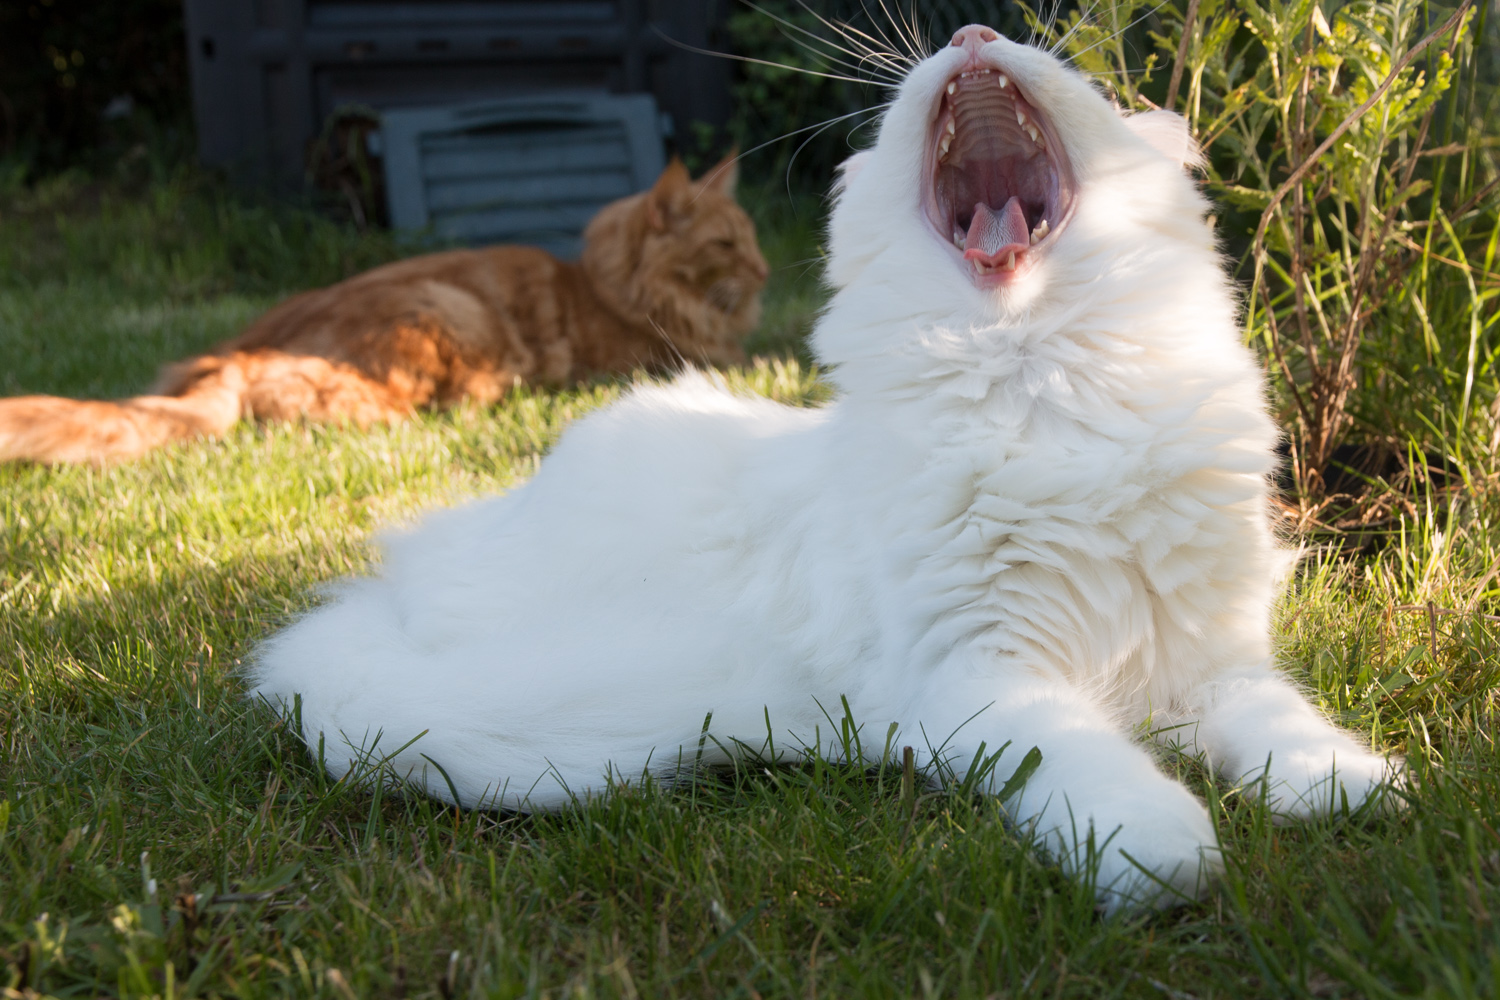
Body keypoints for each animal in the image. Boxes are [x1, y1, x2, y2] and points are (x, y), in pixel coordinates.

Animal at [0, 155, 768, 464]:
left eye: (754, 238)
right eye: (726, 244)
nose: (764, 271)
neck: (610, 284)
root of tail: (239, 352)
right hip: (447, 313)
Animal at [255, 25, 1392, 917]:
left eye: (1059, 63)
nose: (973, 32)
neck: (1044, 382)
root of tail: (387, 581)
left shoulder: (1213, 660)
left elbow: (1282, 725)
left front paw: (1344, 782)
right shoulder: (985, 675)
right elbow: (1094, 762)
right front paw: (1162, 846)